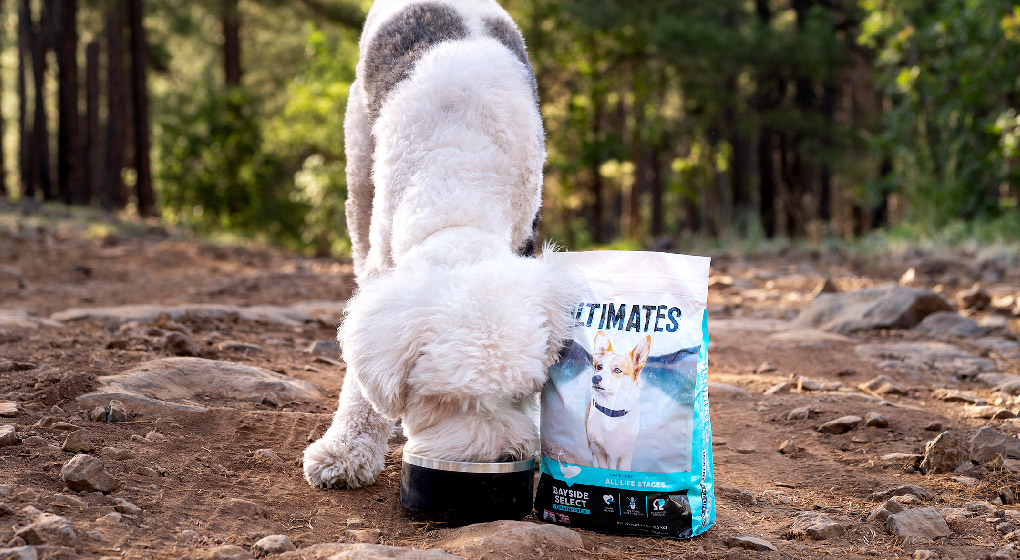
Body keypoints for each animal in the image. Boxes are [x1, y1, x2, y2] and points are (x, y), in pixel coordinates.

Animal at [299, 0, 583, 487]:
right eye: (447, 401)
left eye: (522, 392)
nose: (504, 455)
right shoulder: (384, 257)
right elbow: (361, 387)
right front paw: (346, 451)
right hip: (358, 161)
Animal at [587, 330, 648, 469]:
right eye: (599, 367)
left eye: (617, 370)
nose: (595, 378)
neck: (612, 410)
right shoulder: (600, 451)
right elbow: (603, 466)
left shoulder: (626, 453)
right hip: (591, 443)